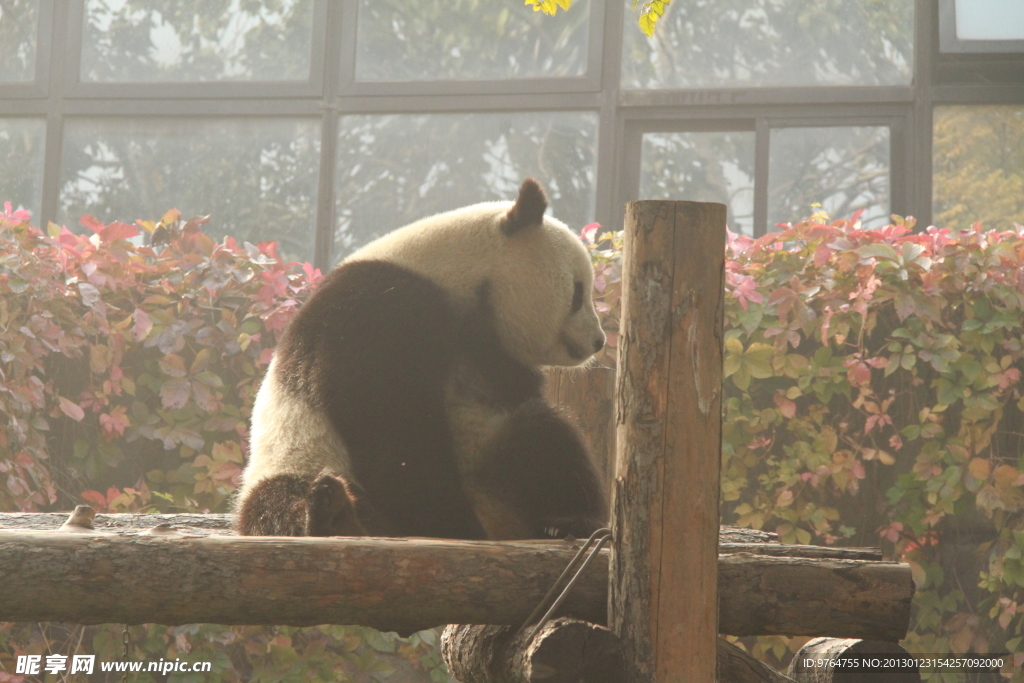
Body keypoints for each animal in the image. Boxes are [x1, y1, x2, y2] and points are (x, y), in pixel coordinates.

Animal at [234, 179, 606, 540]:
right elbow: (394, 426)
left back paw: (566, 521)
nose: (599, 340)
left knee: (542, 439)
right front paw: (454, 524)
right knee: (277, 501)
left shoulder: (488, 349)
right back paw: (335, 515)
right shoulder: (375, 311)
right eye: (577, 294)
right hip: (297, 457)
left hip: (489, 449)